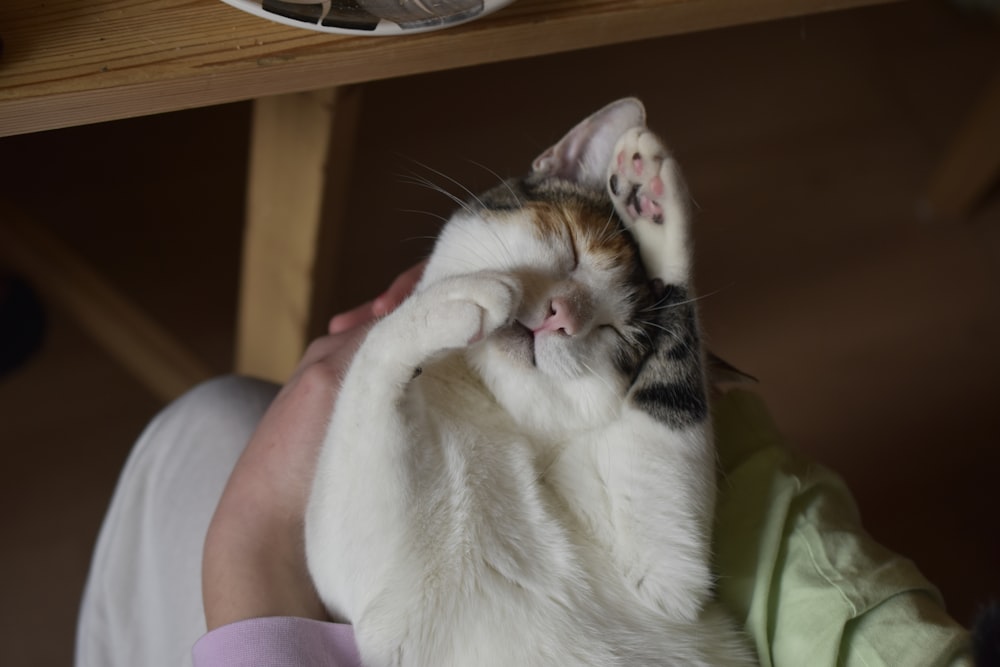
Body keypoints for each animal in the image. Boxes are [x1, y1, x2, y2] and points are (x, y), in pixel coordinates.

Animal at [304, 96, 756, 664]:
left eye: (616, 335)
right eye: (571, 245)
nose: (562, 316)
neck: (491, 409)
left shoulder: (668, 579)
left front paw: (656, 204)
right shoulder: (351, 569)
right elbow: (372, 363)